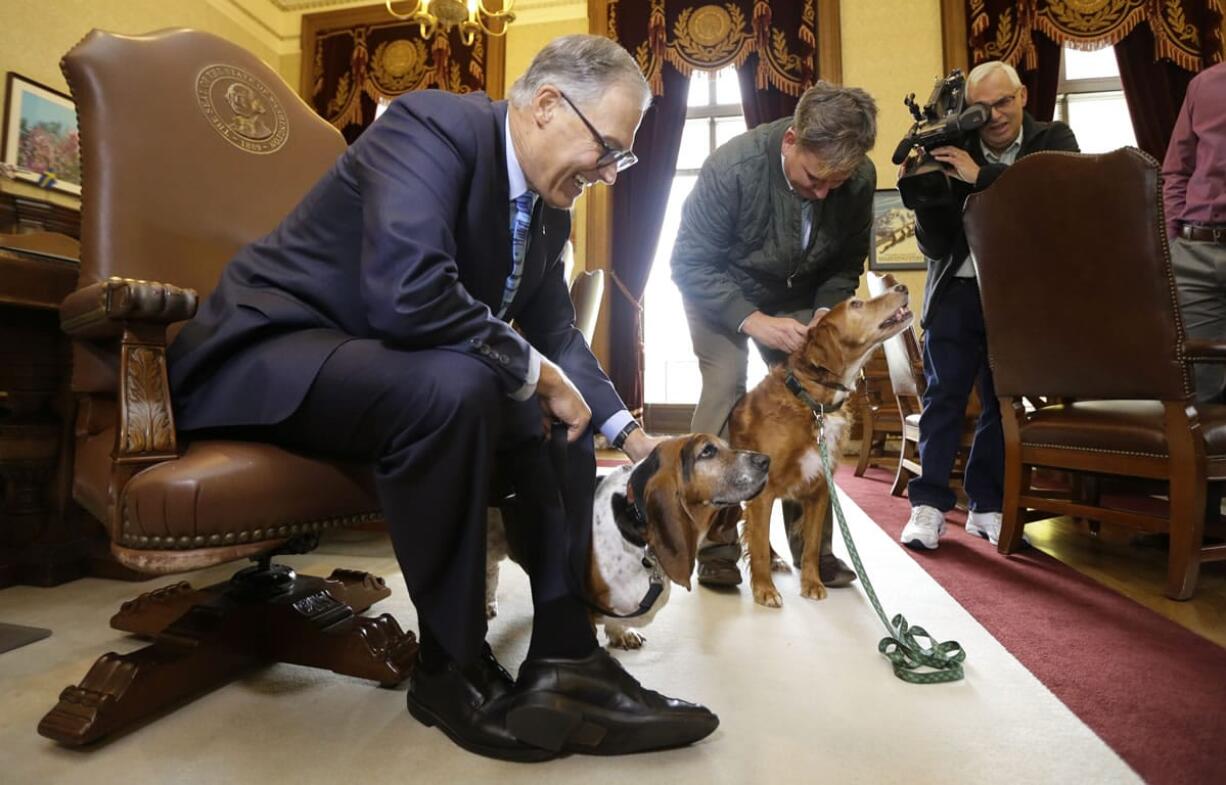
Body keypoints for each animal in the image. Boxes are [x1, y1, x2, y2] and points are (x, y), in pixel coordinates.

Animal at [725, 282, 912, 608]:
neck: (813, 403)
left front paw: (812, 584)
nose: (901, 286)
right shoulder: (764, 490)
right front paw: (764, 589)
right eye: (856, 304)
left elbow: (811, 546)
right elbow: (757, 544)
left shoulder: (819, 489)